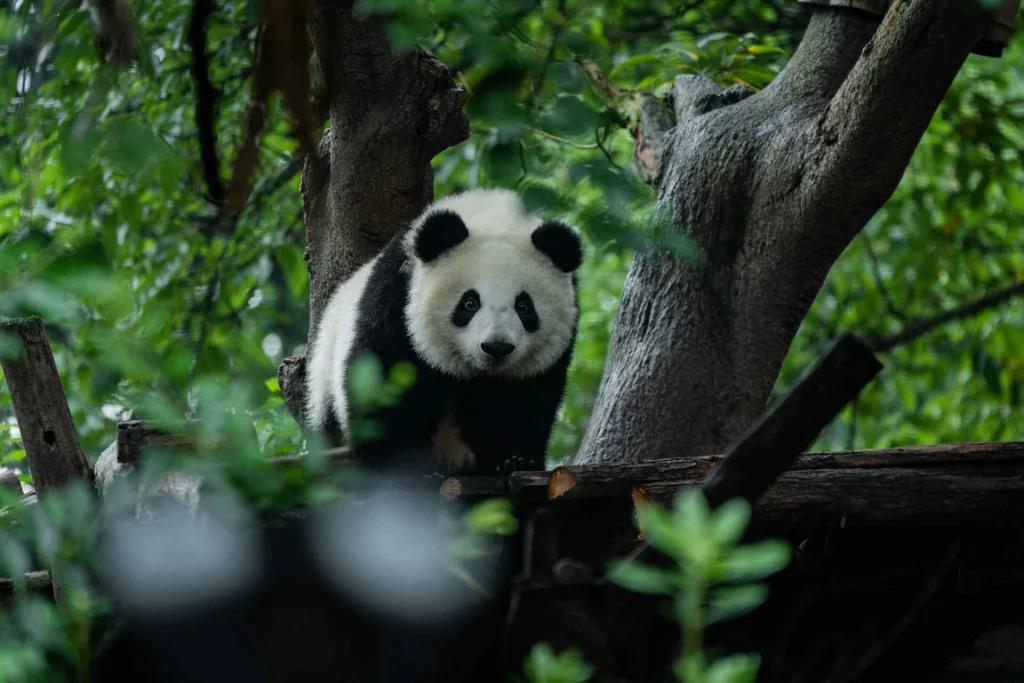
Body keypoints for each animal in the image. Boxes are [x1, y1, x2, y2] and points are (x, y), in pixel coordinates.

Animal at [304, 188, 583, 477]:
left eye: (524, 306)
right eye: (469, 303)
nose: (496, 347)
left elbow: (528, 401)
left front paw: (516, 460)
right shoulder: (395, 300)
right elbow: (383, 386)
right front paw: (399, 467)